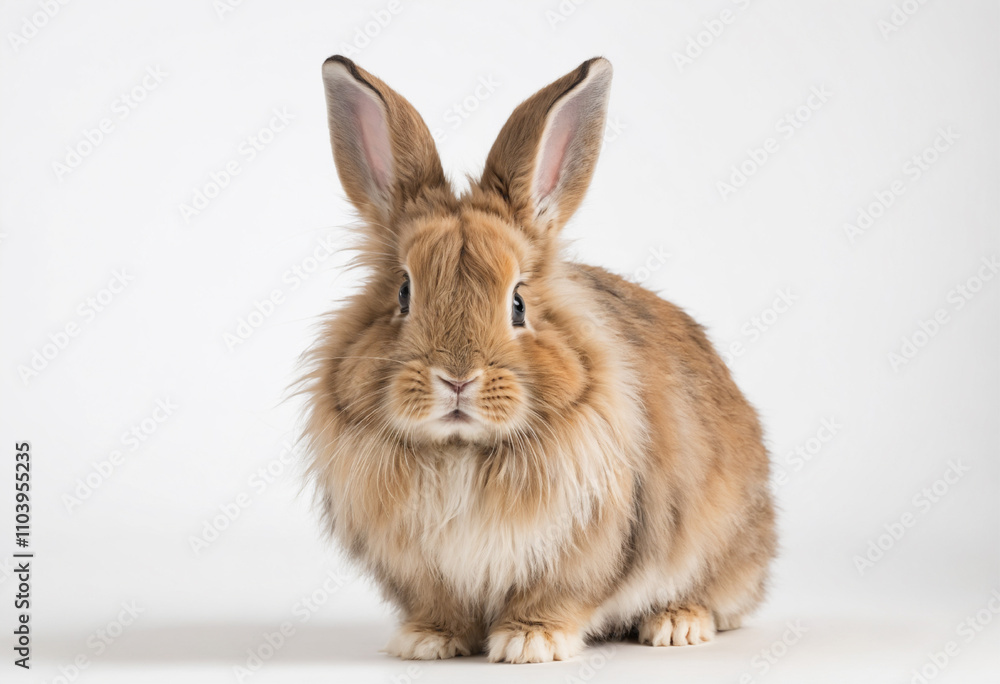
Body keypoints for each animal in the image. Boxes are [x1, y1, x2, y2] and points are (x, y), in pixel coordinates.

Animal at [301, 55, 776, 664]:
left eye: (519, 304)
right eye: (404, 293)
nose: (457, 379)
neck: (461, 452)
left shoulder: (585, 549)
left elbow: (558, 594)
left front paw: (530, 642)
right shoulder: (421, 571)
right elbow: (440, 604)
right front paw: (427, 641)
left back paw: (676, 624)